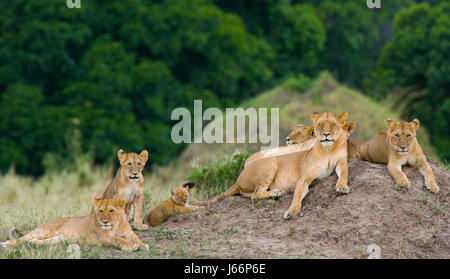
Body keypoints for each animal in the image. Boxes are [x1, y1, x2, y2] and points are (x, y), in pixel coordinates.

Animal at [1, 198, 149, 253]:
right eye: (100, 211)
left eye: (111, 211)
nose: (104, 222)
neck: (116, 224)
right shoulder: (104, 238)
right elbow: (118, 239)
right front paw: (130, 246)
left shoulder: (129, 233)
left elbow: (136, 238)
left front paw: (142, 245)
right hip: (43, 231)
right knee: (21, 239)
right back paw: (5, 244)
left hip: (59, 239)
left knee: (37, 241)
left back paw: (33, 244)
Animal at [207, 111, 356, 219]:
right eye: (319, 125)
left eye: (333, 125)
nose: (287, 139)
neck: (328, 149)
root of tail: (238, 179)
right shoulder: (303, 177)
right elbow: (297, 195)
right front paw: (292, 211)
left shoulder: (341, 162)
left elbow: (344, 173)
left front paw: (342, 187)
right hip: (271, 161)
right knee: (256, 194)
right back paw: (276, 192)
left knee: (250, 194)